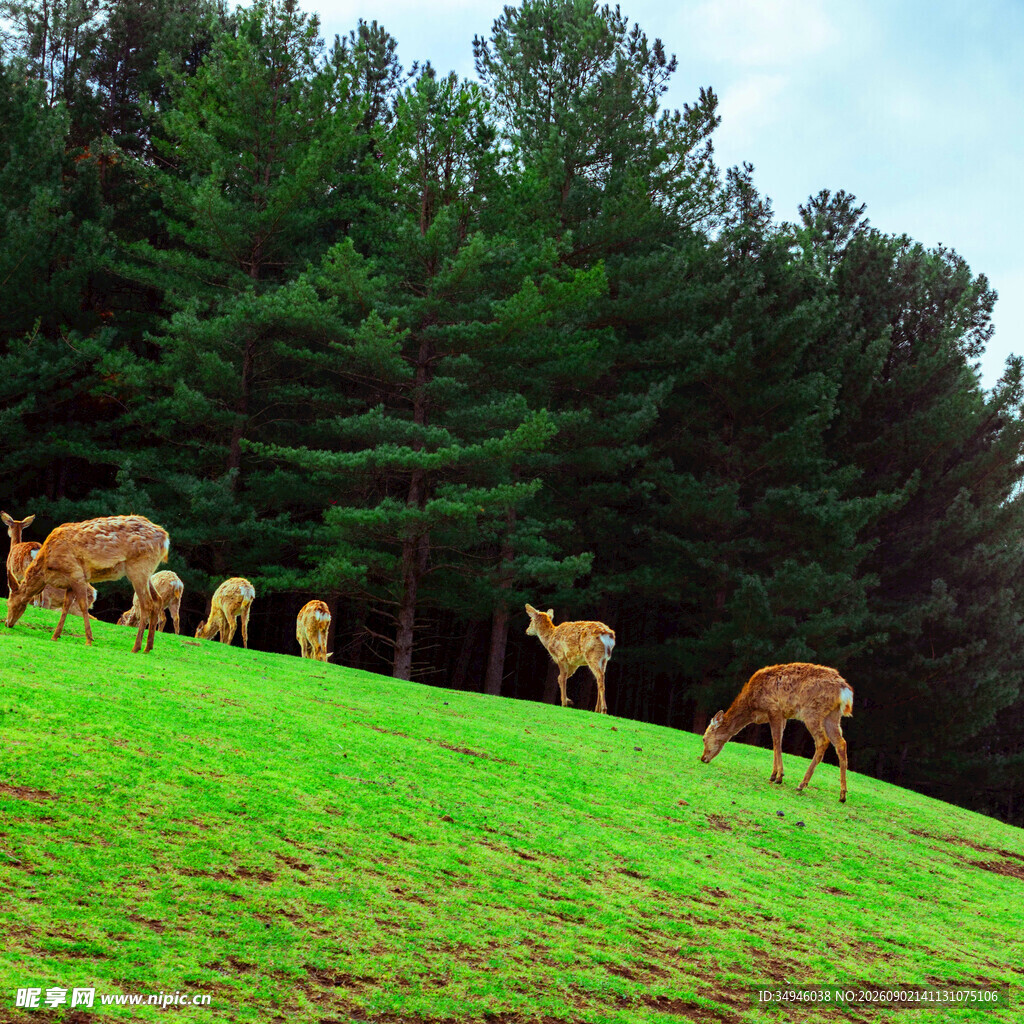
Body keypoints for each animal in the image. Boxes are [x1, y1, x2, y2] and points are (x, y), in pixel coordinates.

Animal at [5, 514, 170, 653]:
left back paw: (136, 647)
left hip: (139, 567)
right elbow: (65, 607)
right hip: (147, 572)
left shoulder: (77, 573)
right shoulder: (70, 582)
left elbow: (83, 606)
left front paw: (89, 640)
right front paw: (55, 635)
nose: (7, 623)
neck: (47, 567)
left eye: (10, 603)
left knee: (146, 604)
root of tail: (165, 539)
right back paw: (148, 647)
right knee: (157, 600)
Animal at [700, 662, 853, 803]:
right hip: (832, 716)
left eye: (704, 738)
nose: (702, 758)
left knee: (823, 741)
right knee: (841, 743)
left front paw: (778, 776)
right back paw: (842, 795)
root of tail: (845, 691)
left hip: (812, 711)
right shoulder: (783, 715)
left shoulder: (774, 709)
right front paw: (774, 775)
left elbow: (776, 740)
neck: (751, 706)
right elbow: (778, 741)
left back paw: (801, 785)